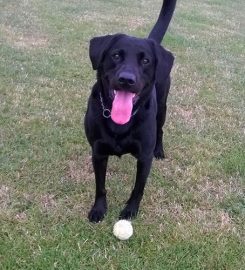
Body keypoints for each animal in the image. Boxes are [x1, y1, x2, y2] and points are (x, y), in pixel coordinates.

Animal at [84, 0, 176, 223]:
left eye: (145, 61)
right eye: (116, 55)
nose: (126, 79)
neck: (120, 123)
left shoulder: (144, 157)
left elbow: (138, 189)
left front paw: (130, 211)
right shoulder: (98, 153)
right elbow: (100, 186)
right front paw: (99, 209)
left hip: (162, 108)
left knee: (161, 129)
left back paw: (160, 149)